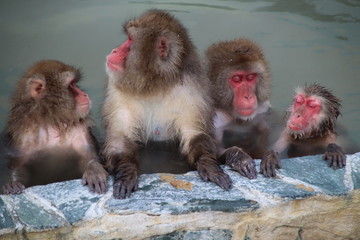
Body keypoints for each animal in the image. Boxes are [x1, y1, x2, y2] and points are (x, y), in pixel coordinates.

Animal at [102, 9, 232, 199]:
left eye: (130, 40)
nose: (114, 50)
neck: (154, 86)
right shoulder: (117, 93)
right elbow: (120, 138)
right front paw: (126, 172)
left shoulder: (191, 94)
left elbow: (195, 134)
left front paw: (209, 164)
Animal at [205, 38, 278, 179]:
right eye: (237, 79)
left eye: (250, 77)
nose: (248, 96)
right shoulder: (215, 118)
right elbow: (214, 152)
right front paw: (238, 157)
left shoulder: (263, 108)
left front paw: (270, 155)